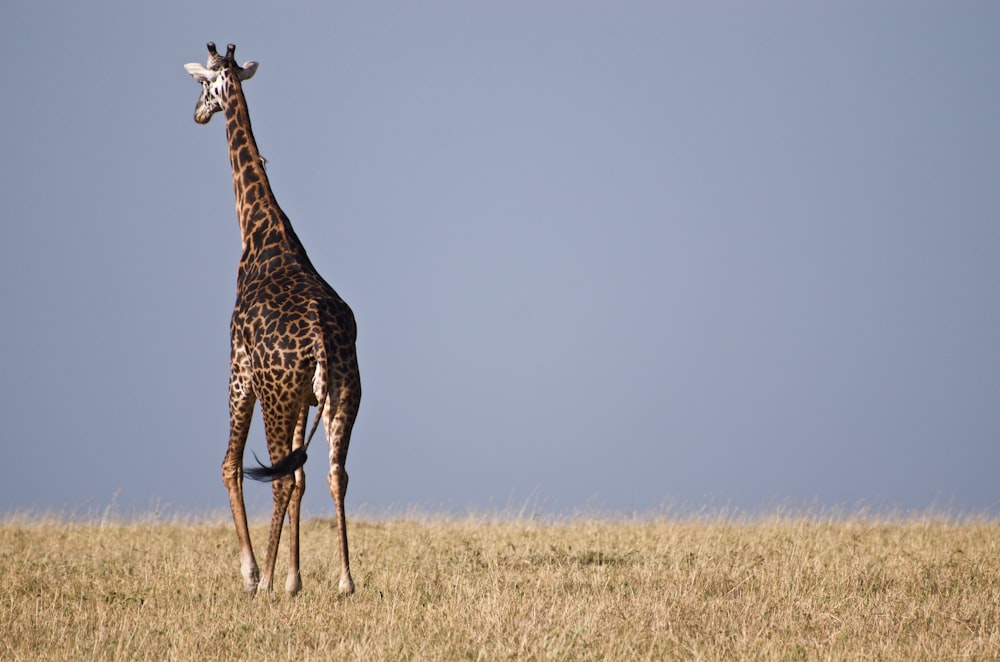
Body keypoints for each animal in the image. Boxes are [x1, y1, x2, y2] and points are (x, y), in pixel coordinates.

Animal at [186, 44, 362, 600]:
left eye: (202, 85)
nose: (198, 114)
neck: (261, 231)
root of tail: (322, 340)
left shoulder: (238, 367)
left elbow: (229, 466)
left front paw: (255, 575)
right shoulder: (309, 395)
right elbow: (305, 478)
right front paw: (293, 578)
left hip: (275, 393)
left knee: (277, 474)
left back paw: (262, 582)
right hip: (342, 395)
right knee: (332, 473)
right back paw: (346, 580)